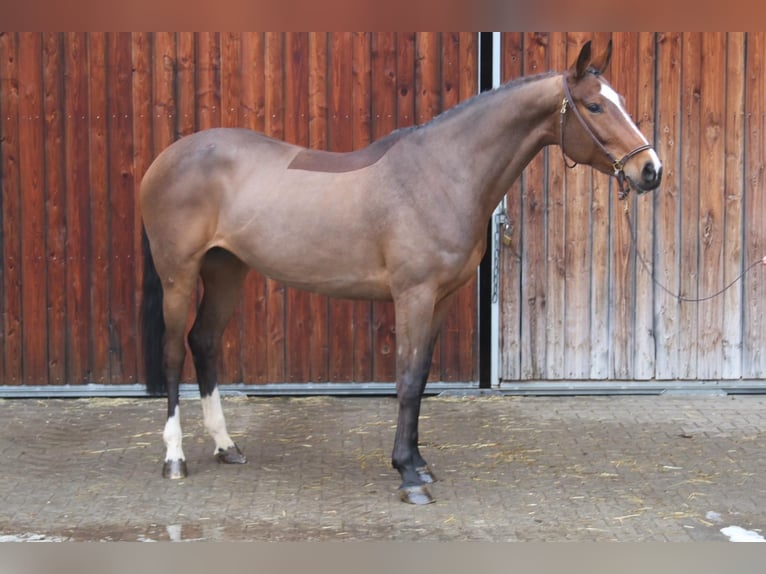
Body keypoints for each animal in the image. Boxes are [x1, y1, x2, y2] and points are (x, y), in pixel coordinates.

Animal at [140, 40, 662, 505]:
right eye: (595, 106)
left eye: (618, 101)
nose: (651, 170)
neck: (440, 173)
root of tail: (165, 159)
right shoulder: (414, 294)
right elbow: (408, 379)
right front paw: (409, 476)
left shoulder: (442, 298)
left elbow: (423, 376)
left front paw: (419, 463)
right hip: (179, 274)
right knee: (173, 352)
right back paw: (174, 458)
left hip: (226, 270)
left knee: (205, 342)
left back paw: (226, 447)